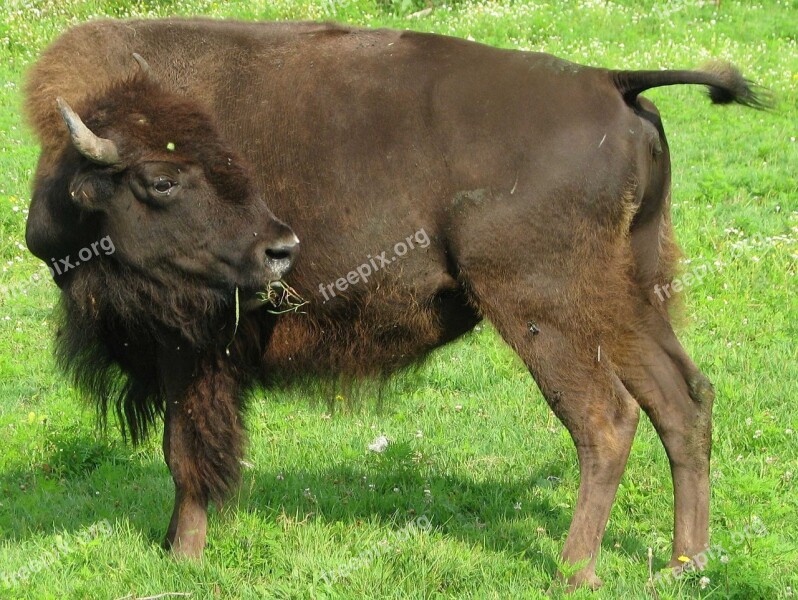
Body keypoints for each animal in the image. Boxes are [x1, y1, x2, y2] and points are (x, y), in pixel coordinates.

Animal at [23, 19, 768, 592]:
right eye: (161, 178)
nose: (280, 249)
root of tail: (611, 81)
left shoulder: (188, 351)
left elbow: (186, 452)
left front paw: (183, 556)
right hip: (629, 296)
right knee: (683, 399)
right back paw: (685, 564)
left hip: (544, 309)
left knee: (606, 420)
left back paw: (575, 571)